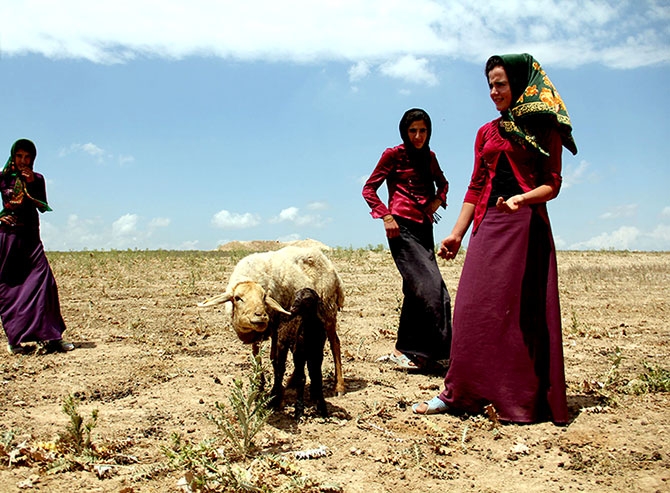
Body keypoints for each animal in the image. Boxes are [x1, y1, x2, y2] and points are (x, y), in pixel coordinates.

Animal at [198, 246, 346, 396]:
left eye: (264, 297)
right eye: (237, 298)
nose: (261, 316)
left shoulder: (275, 325)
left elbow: (275, 359)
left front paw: (275, 390)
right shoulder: (257, 333)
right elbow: (256, 357)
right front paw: (259, 386)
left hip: (328, 309)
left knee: (335, 343)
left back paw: (339, 386)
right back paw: (292, 381)